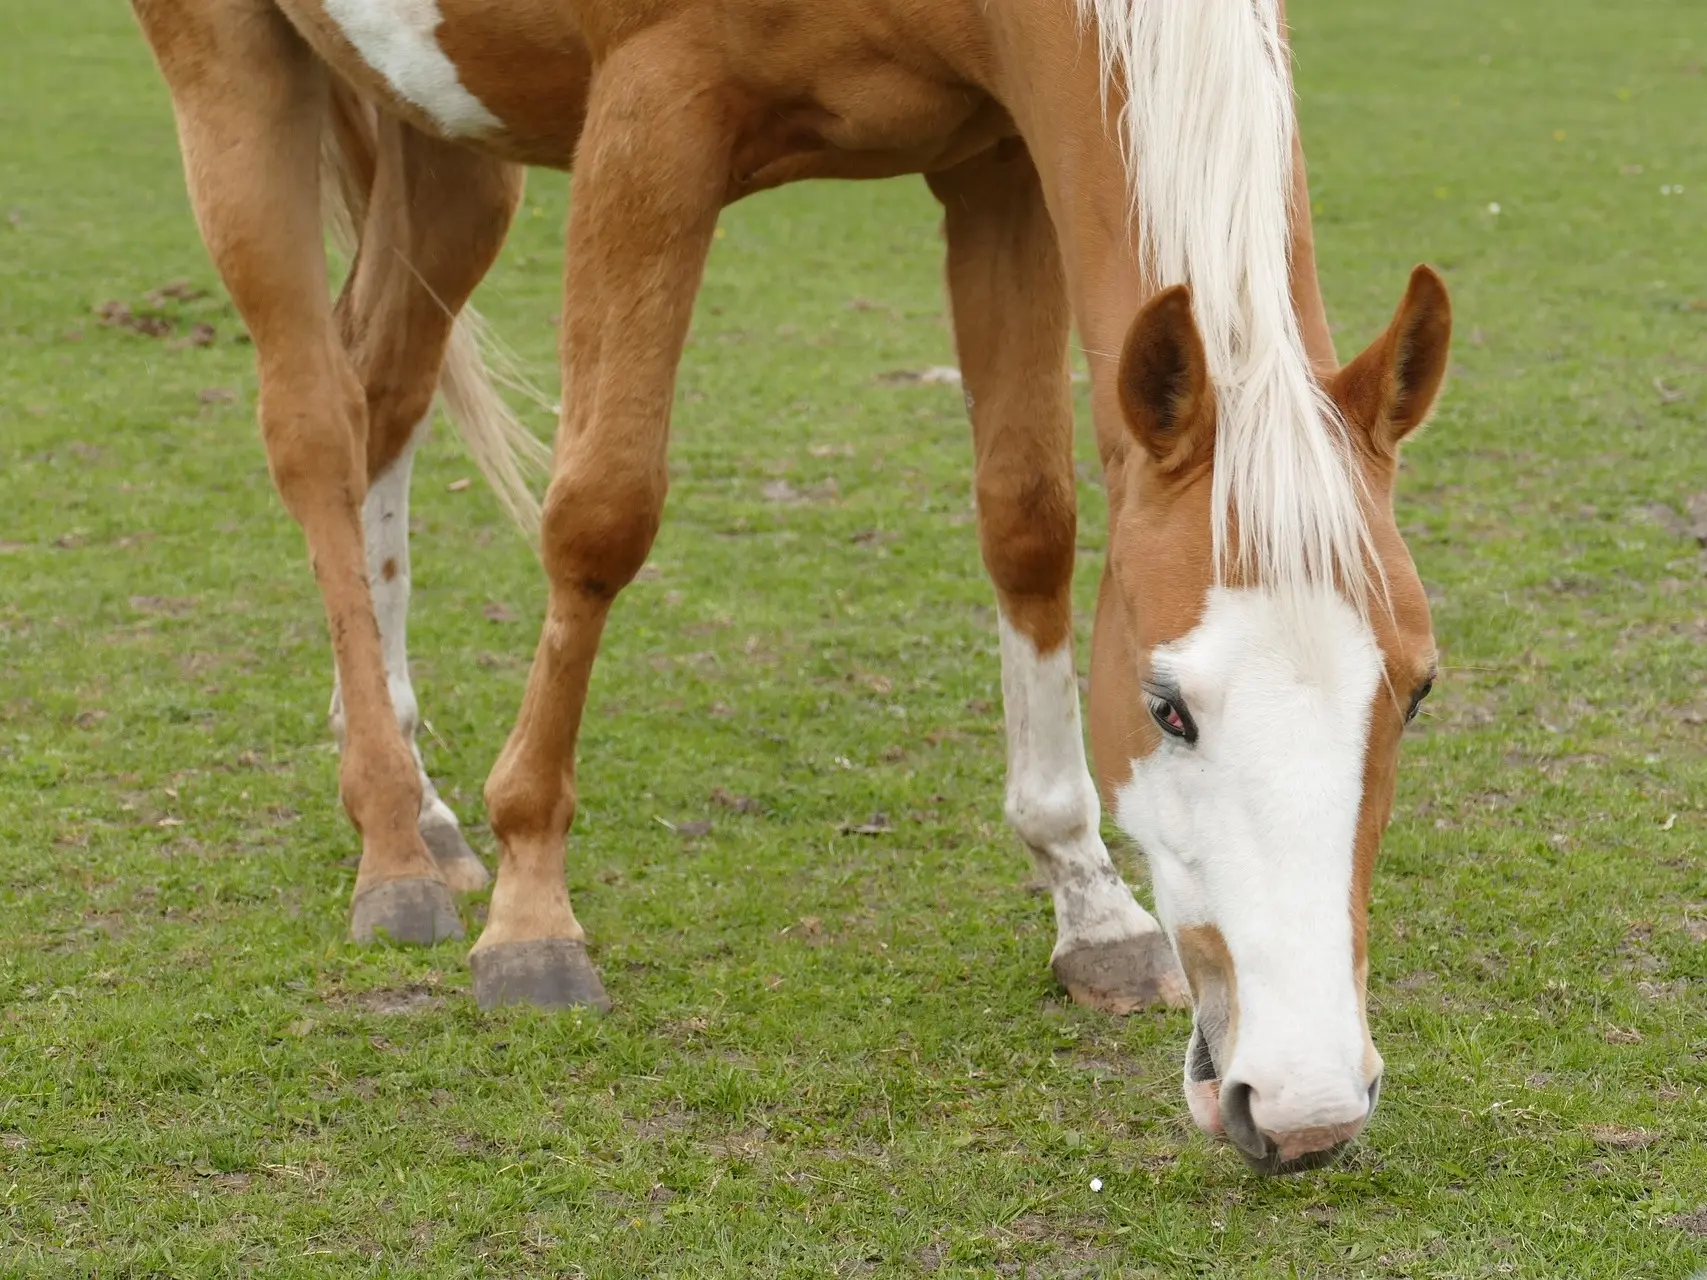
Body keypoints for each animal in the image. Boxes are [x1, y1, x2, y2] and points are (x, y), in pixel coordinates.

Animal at [126, 0, 1447, 1174]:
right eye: (1166, 703)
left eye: (1418, 691)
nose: (1308, 1108)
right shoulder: (649, 122)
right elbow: (601, 513)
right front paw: (532, 909)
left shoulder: (1000, 162)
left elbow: (1028, 519)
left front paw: (1089, 902)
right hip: (234, 76)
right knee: (317, 426)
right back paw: (396, 842)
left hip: (446, 141)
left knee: (387, 383)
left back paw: (411, 783)